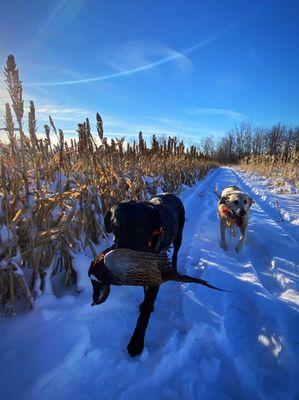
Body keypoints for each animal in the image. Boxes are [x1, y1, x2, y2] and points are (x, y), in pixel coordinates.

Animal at [92, 194, 185, 356]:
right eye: (115, 226)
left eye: (137, 228)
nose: (115, 258)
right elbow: (144, 289)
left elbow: (146, 312)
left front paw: (136, 342)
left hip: (179, 235)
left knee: (175, 253)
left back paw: (174, 268)